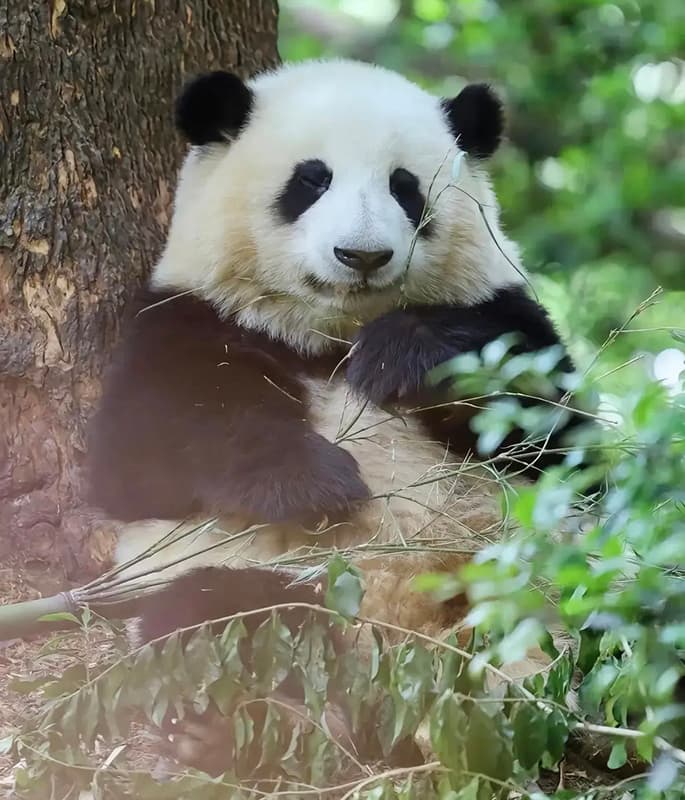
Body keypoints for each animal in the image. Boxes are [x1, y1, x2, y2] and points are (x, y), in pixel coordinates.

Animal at [88, 59, 586, 775]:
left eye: (405, 187)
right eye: (311, 180)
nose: (363, 256)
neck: (331, 336)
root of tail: (397, 654)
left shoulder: (506, 307)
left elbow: (557, 435)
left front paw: (401, 358)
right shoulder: (188, 318)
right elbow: (140, 456)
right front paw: (318, 484)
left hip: (513, 576)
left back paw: (496, 719)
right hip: (263, 578)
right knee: (216, 618)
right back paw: (250, 727)